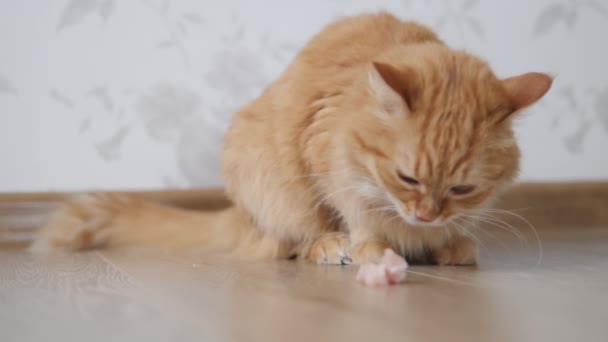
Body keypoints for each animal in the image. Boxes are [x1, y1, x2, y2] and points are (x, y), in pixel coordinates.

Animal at [32, 12, 552, 264]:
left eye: (462, 188)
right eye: (407, 179)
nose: (426, 215)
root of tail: (240, 216)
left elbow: (455, 234)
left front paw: (451, 242)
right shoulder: (327, 161)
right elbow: (360, 215)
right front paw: (373, 248)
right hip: (269, 181)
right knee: (289, 244)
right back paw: (330, 248)